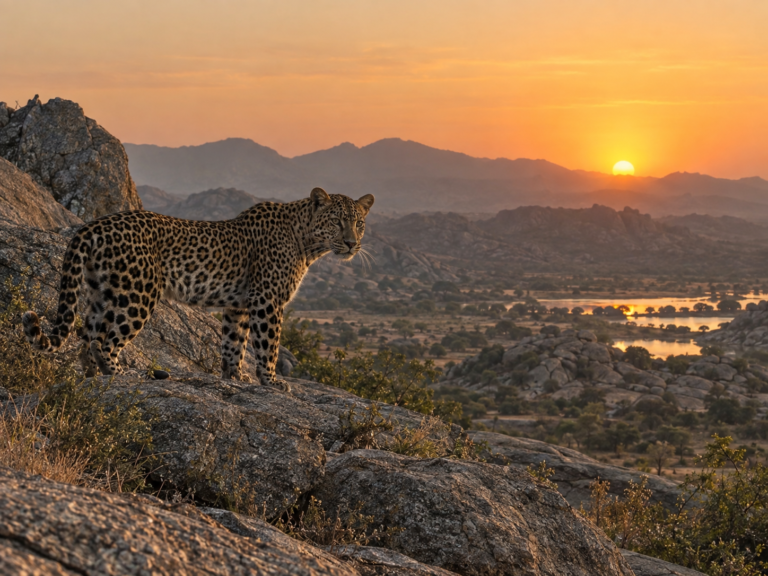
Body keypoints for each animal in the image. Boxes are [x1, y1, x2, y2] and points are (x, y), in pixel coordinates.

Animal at [22, 187, 374, 392]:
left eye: (359, 223)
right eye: (337, 221)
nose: (351, 244)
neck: (308, 243)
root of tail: (92, 225)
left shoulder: (239, 305)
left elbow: (234, 342)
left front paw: (236, 378)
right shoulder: (267, 300)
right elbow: (268, 344)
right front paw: (273, 381)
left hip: (102, 291)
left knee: (88, 337)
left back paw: (92, 377)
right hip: (137, 295)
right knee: (106, 341)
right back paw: (123, 375)